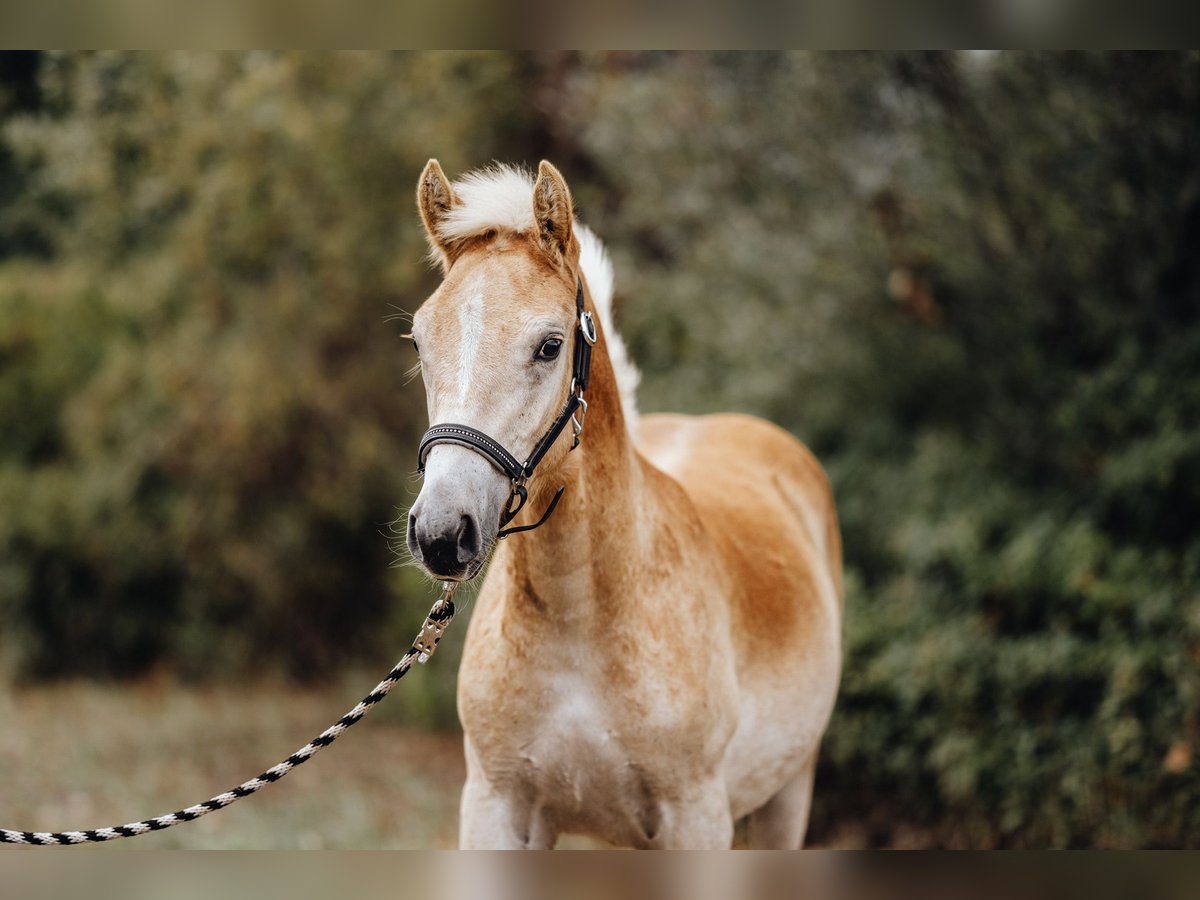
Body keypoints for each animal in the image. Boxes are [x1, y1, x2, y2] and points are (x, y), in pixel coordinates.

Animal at [408, 160, 840, 844]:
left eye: (549, 345)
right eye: (420, 342)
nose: (442, 534)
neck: (583, 620)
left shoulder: (697, 819)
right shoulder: (496, 808)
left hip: (790, 790)